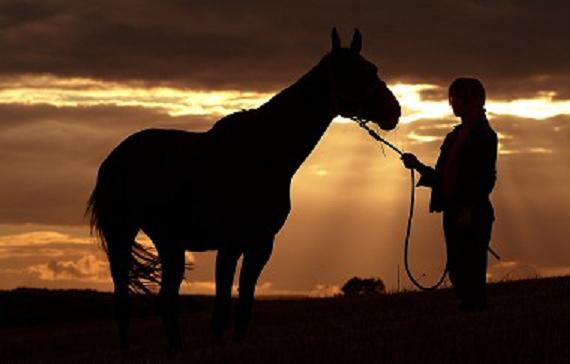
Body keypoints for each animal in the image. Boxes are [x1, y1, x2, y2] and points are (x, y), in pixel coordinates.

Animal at [86, 28, 400, 352]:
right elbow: (222, 307)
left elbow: (245, 304)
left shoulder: (260, 244)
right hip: (122, 233)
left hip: (169, 241)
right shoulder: (231, 243)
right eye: (355, 72)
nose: (394, 111)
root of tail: (113, 160)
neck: (262, 152)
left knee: (166, 300)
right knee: (124, 301)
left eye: (373, 68)